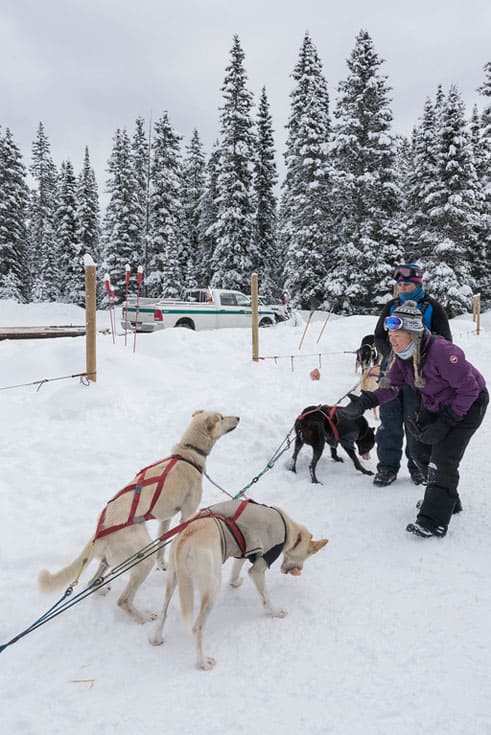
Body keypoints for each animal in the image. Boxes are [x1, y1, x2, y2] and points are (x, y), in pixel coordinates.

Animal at [38, 412, 240, 624]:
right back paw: (142, 617)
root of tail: (100, 532)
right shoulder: (187, 514)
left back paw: (101, 589)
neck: (187, 454)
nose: (238, 418)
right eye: (222, 417)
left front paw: (163, 565)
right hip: (142, 559)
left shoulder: (165, 518)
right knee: (123, 600)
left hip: (110, 560)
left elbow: (162, 544)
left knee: (92, 582)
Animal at [149, 498, 326, 668]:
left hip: (173, 580)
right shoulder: (259, 568)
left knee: (163, 613)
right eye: (306, 557)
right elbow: (266, 599)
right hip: (212, 590)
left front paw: (235, 582)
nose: (299, 571)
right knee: (197, 628)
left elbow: (235, 572)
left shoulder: (244, 553)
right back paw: (203, 663)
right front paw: (275, 612)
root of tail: (187, 534)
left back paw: (156, 638)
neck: (287, 528)